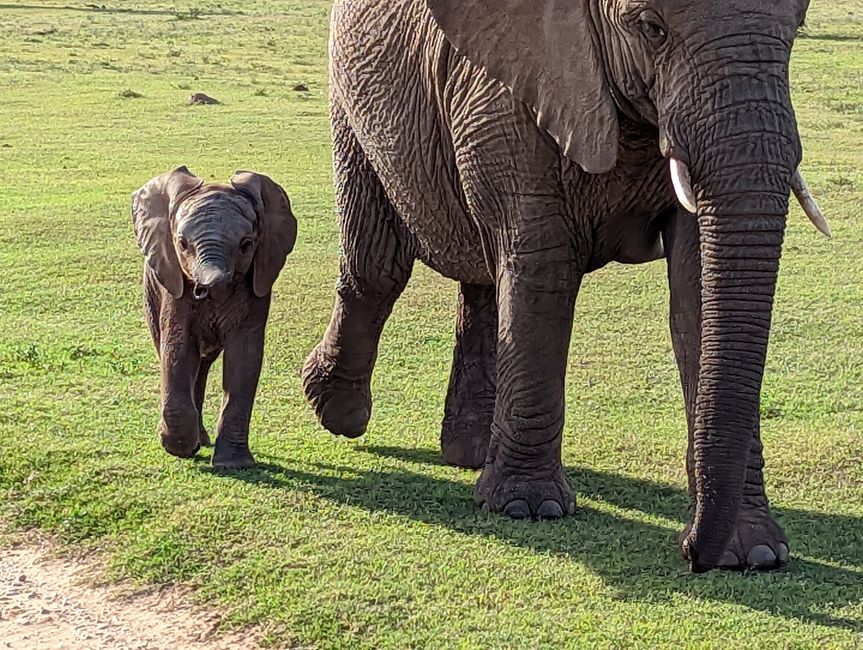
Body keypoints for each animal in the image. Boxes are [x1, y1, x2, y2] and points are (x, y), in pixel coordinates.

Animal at [133, 167, 297, 468]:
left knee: (203, 367)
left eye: (246, 244)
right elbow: (177, 348)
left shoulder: (256, 284)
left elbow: (243, 358)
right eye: (182, 244)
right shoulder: (174, 283)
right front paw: (177, 448)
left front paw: (234, 464)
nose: (205, 288)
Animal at [302, 0, 831, 572]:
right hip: (352, 102)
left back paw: (470, 453)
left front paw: (755, 552)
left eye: (798, 28)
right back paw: (338, 413)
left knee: (483, 277)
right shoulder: (506, 92)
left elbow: (696, 291)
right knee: (378, 267)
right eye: (651, 28)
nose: (690, 552)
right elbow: (542, 264)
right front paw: (527, 508)